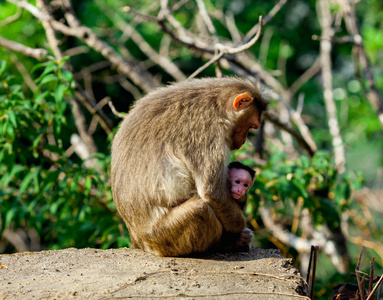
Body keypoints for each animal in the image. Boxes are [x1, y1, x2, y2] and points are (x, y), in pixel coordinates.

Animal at [109, 77, 268, 255]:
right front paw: (238, 227)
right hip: (163, 236)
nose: (243, 142)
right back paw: (227, 243)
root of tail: (138, 241)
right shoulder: (208, 132)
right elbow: (212, 191)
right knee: (200, 209)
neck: (216, 106)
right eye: (251, 126)